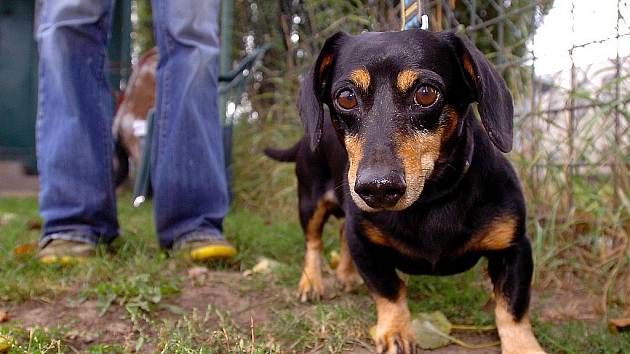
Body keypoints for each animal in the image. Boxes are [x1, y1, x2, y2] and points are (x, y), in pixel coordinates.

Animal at [264, 30, 544, 354]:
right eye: (346, 97)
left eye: (425, 93)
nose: (378, 189)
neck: (431, 199)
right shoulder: (365, 244)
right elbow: (389, 290)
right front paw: (396, 331)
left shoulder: (514, 249)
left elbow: (512, 309)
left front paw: (523, 347)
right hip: (310, 203)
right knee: (314, 242)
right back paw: (311, 283)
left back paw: (346, 274)